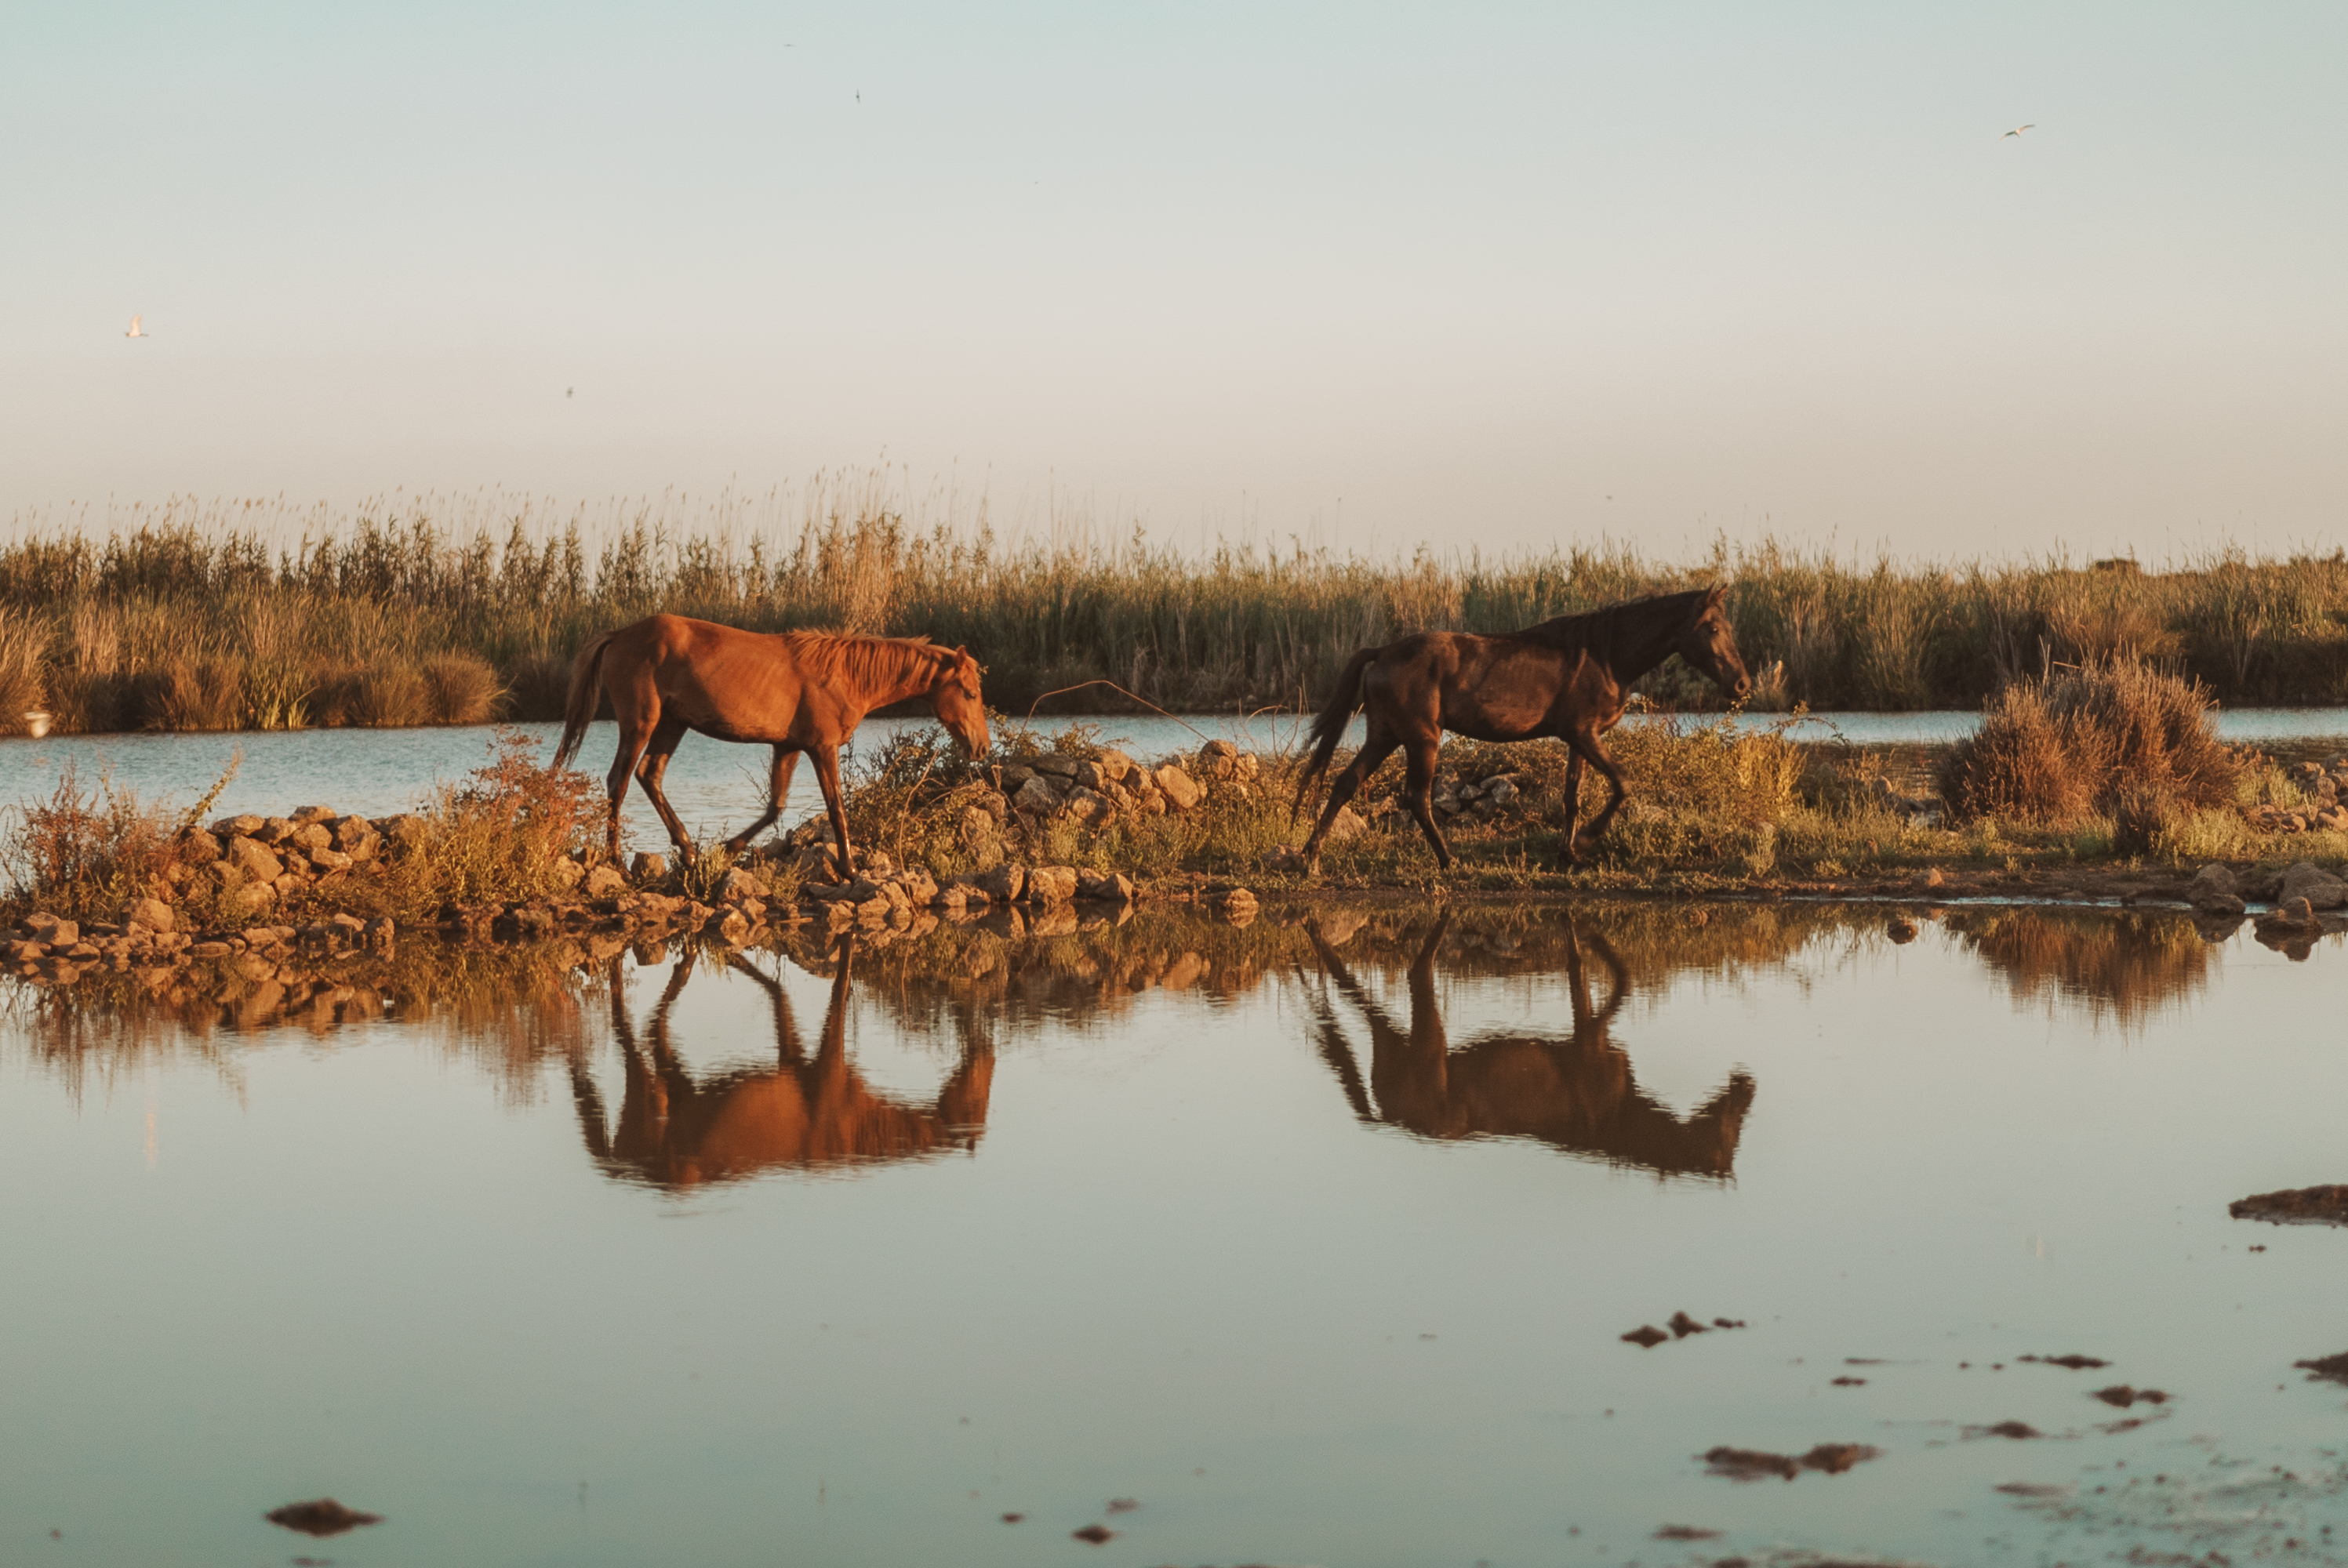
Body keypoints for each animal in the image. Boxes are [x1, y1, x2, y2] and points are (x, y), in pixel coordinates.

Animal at [553, 613, 989, 874]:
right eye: (969, 693)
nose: (982, 748)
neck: (846, 676)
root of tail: (619, 635)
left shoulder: (789, 747)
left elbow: (774, 807)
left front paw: (728, 848)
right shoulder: (822, 748)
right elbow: (837, 809)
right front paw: (849, 869)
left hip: (672, 725)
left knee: (649, 775)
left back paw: (689, 850)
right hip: (640, 722)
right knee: (619, 781)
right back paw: (616, 859)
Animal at [1292, 585, 1750, 872]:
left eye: (1728, 627)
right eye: (1712, 628)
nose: (1743, 684)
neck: (1606, 655)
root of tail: (1383, 651)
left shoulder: (1578, 739)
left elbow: (1572, 797)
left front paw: (1568, 854)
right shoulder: (1585, 734)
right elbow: (1623, 784)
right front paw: (1587, 840)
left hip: (1384, 735)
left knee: (1345, 784)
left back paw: (1310, 858)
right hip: (1423, 740)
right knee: (1416, 798)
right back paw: (1449, 860)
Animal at [1299, 910, 1756, 1180]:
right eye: (1727, 1139)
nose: (1746, 1085)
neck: (1618, 1117)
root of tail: (1390, 1119)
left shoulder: (1593, 1038)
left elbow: (1595, 975)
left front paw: (1588, 932)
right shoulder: (1590, 1043)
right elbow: (1609, 978)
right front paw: (1590, 932)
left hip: (1401, 1044)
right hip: (1424, 1039)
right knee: (1408, 977)